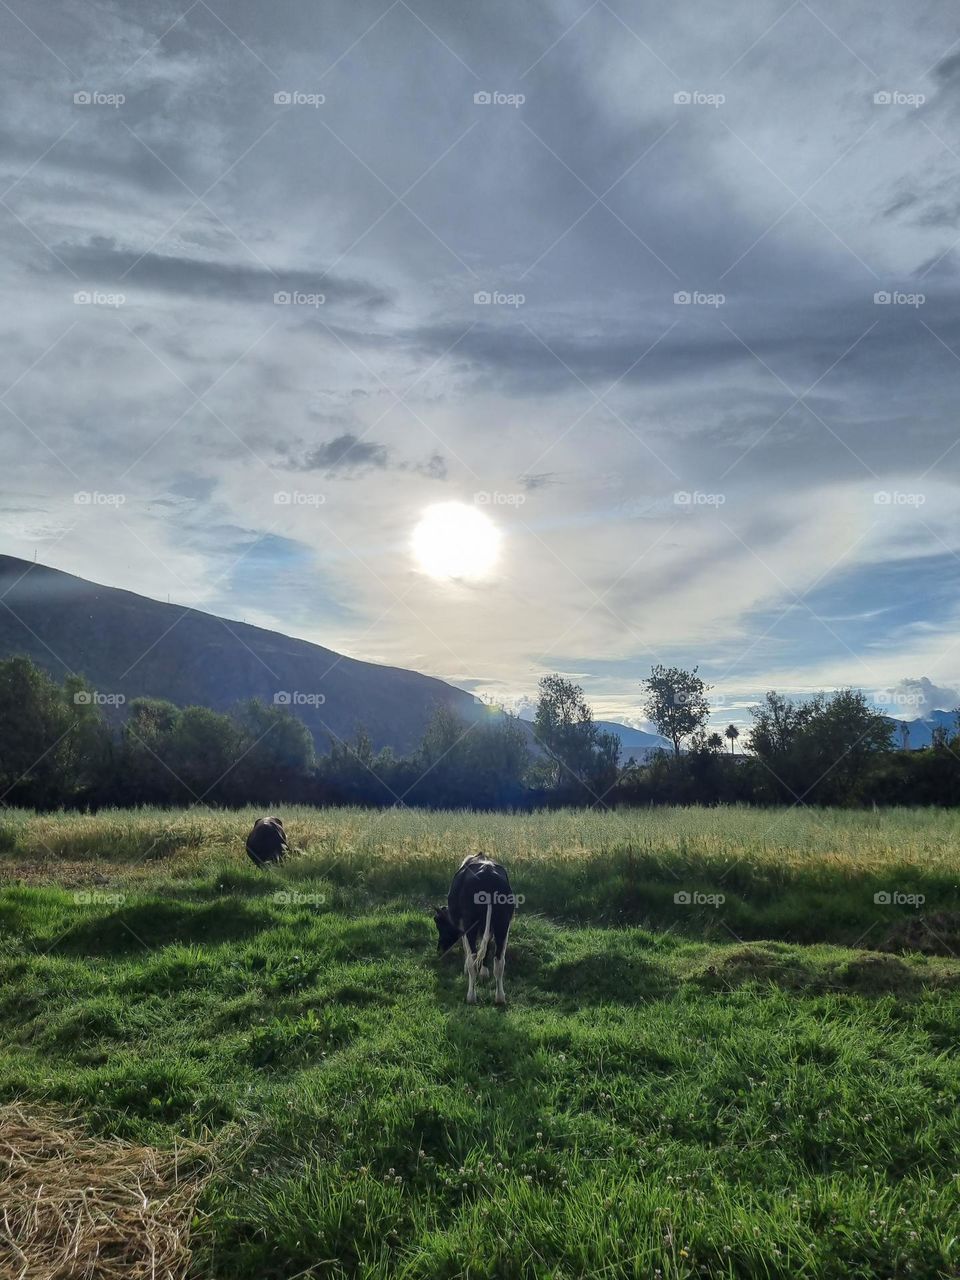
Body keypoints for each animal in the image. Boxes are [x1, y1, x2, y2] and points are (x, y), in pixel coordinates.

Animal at [435, 855, 514, 1003]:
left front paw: (466, 968)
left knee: (473, 957)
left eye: (438, 923)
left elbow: (468, 948)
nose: (439, 949)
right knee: (499, 961)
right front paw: (484, 972)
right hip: (503, 922)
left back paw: (471, 996)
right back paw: (500, 998)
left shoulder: (463, 926)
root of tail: (489, 875)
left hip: (470, 923)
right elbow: (487, 946)